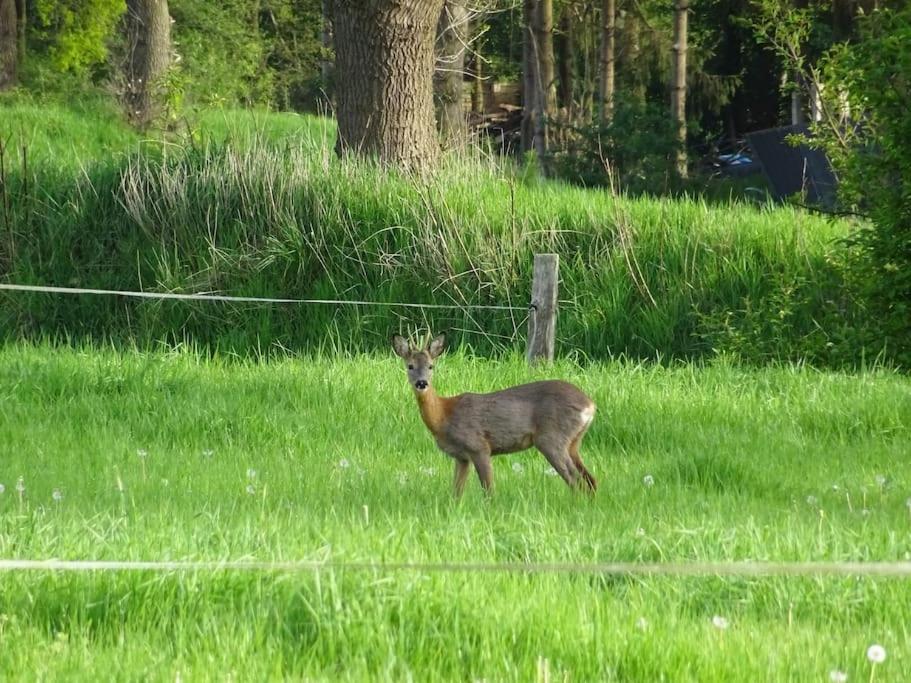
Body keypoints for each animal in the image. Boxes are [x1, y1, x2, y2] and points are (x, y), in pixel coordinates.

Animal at [394, 332, 600, 496]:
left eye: (431, 366)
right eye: (410, 366)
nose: (422, 383)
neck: (444, 415)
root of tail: (590, 405)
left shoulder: (479, 446)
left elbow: (489, 490)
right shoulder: (461, 457)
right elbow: (456, 492)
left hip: (551, 438)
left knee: (576, 481)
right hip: (573, 442)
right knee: (591, 480)